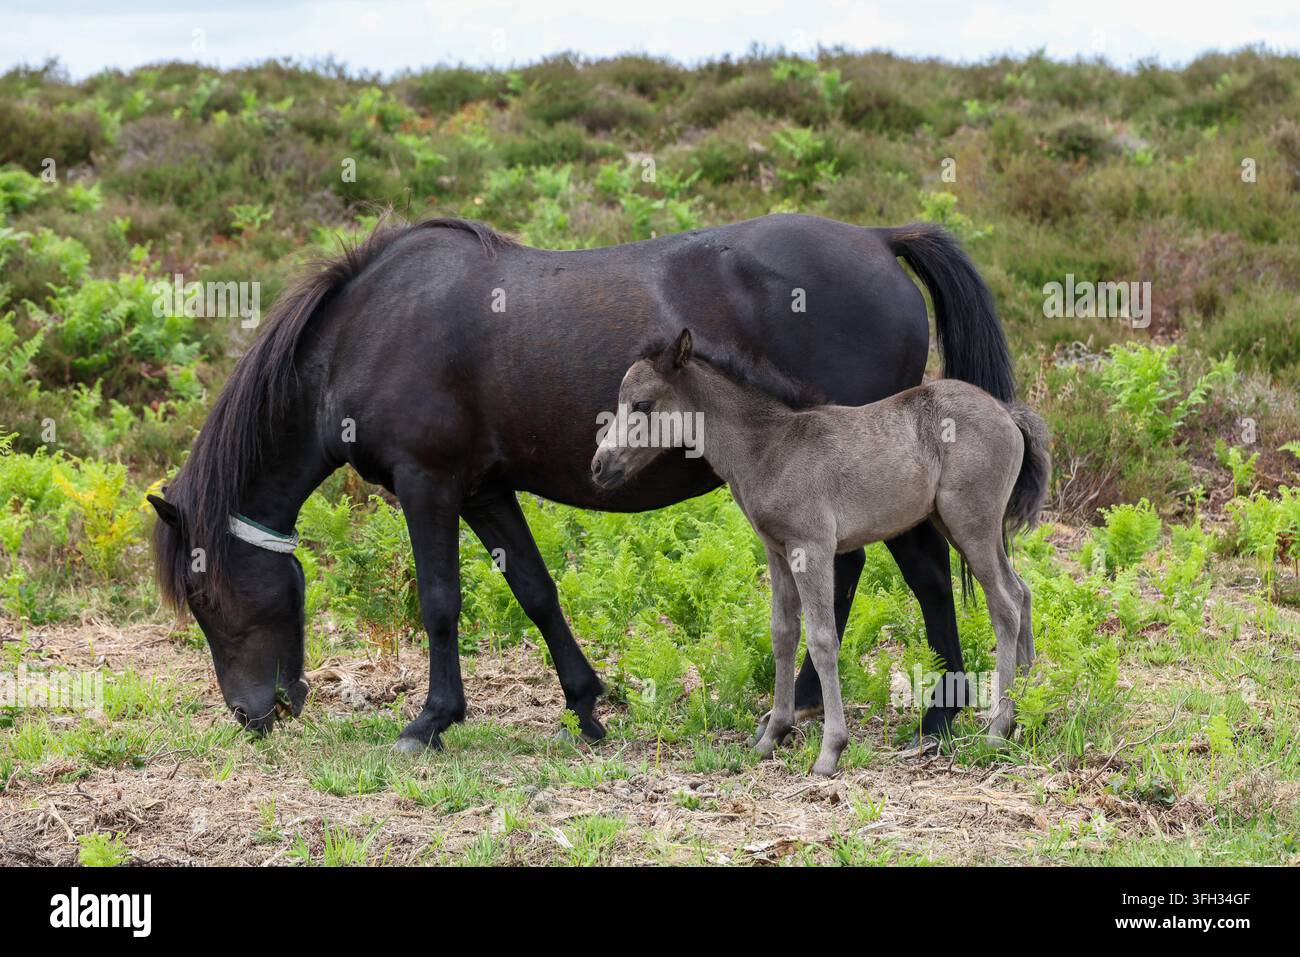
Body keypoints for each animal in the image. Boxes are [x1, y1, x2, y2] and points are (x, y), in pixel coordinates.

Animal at [147, 213, 1017, 752]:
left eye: (206, 595)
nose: (252, 713)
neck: (367, 329)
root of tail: (878, 237)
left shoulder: (428, 484)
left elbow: (439, 602)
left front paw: (430, 719)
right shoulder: (484, 490)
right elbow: (536, 589)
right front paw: (586, 702)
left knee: (923, 570)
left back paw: (936, 712)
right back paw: (812, 699)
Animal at [592, 329, 1050, 774]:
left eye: (643, 404)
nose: (598, 466)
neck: (768, 449)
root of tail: (1008, 413)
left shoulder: (810, 547)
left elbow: (822, 639)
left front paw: (830, 750)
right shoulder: (778, 553)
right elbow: (782, 634)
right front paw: (772, 735)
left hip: (971, 522)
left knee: (1005, 603)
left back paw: (997, 729)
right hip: (957, 524)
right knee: (1022, 590)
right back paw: (1028, 711)